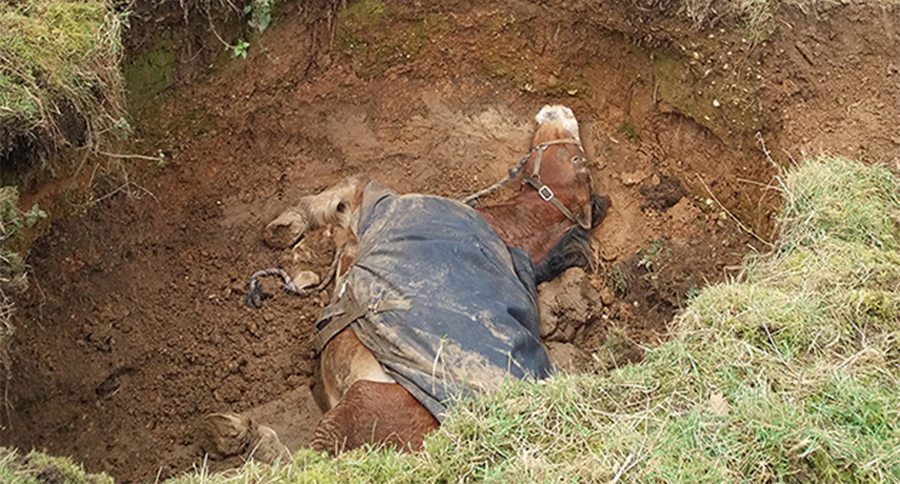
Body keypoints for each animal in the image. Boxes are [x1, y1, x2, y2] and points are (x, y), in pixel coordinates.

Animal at [205, 105, 608, 460]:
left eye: (577, 158)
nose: (559, 110)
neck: (508, 228)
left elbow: (347, 190)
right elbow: (338, 202)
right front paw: (289, 235)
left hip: (354, 408)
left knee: (306, 461)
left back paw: (239, 432)